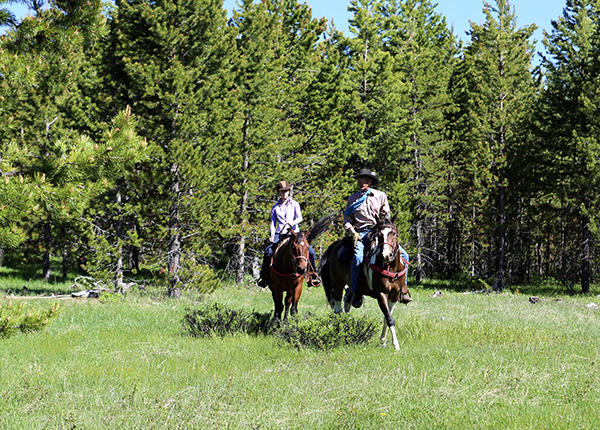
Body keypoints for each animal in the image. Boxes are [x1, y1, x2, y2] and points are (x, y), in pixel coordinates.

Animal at [322, 218, 410, 350]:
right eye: (379, 235)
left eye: (393, 233)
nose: (386, 255)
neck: (391, 268)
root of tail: (335, 245)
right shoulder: (381, 294)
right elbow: (390, 318)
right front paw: (396, 345)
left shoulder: (394, 296)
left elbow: (386, 317)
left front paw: (383, 341)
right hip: (337, 284)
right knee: (338, 310)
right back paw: (340, 331)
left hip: (350, 288)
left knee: (347, 302)